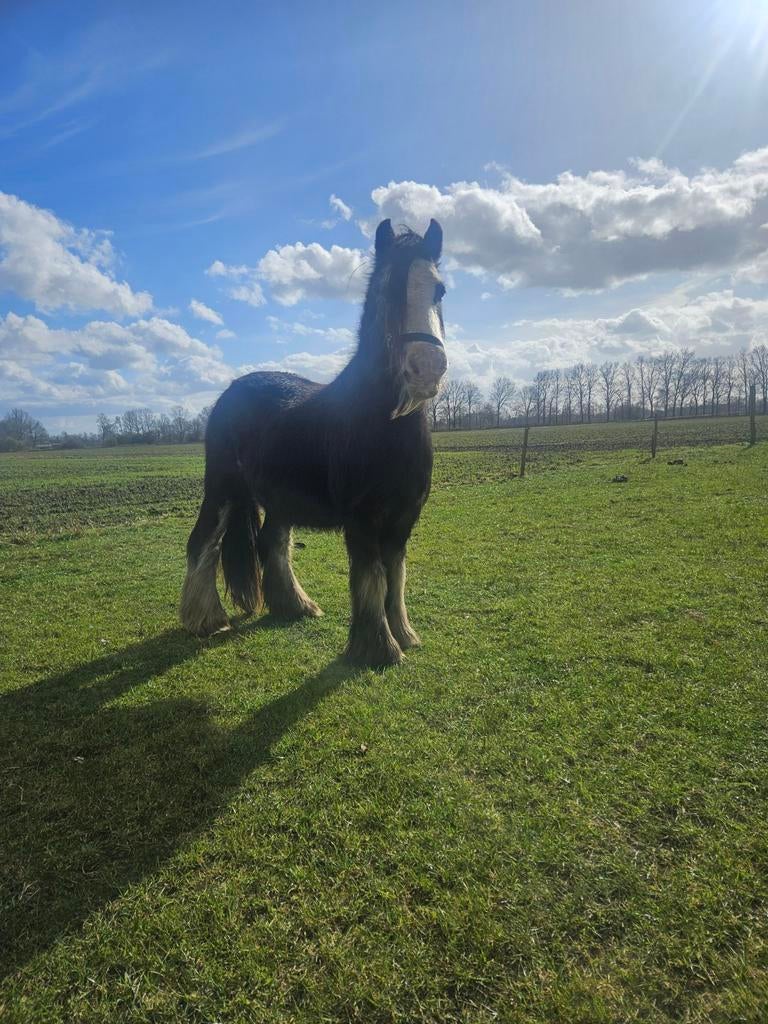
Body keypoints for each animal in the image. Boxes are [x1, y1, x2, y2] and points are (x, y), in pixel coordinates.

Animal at [180, 218, 448, 667]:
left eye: (439, 290)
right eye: (387, 290)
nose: (427, 368)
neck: (384, 425)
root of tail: (230, 392)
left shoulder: (403, 519)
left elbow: (396, 576)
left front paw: (405, 636)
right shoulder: (362, 520)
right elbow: (371, 577)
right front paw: (379, 648)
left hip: (279, 497)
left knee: (273, 542)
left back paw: (295, 605)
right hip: (221, 487)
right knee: (203, 541)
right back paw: (206, 620)